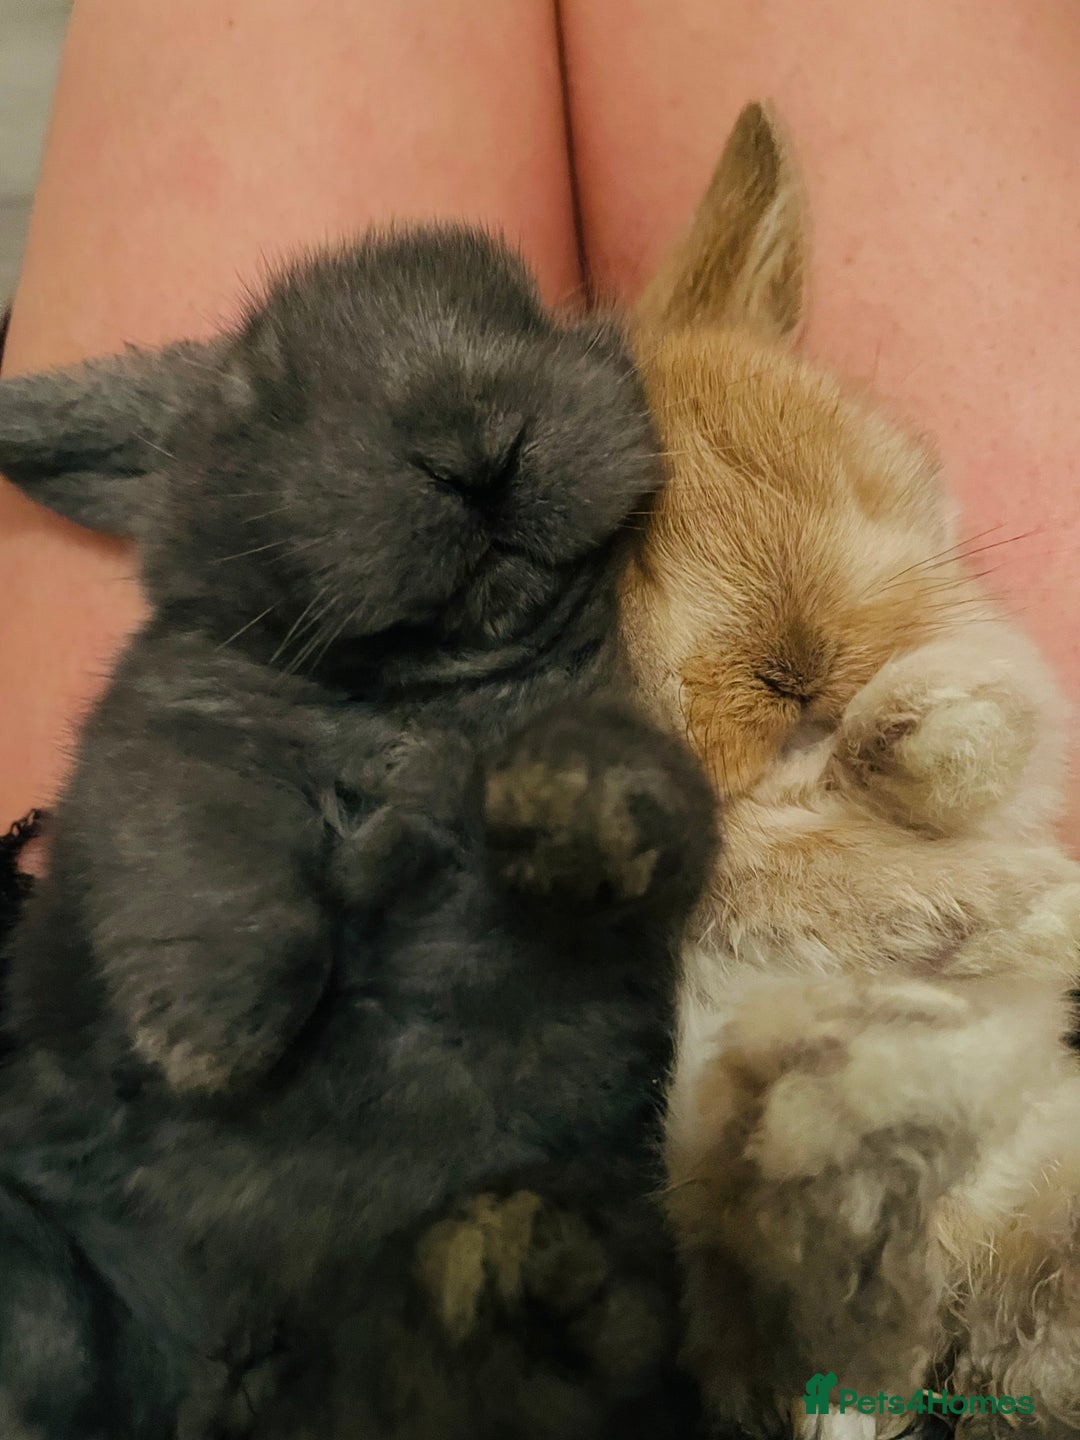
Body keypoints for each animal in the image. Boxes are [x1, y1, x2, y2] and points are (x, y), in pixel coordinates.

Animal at [0, 224, 717, 1439]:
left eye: (526, 310)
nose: (476, 449)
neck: (437, 687)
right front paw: (215, 1043)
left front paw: (580, 798)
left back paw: (527, 1280)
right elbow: (220, 864)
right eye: (261, 395)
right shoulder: (172, 740)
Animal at [620, 103, 1080, 1439]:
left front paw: (922, 727)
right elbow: (815, 877)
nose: (795, 663)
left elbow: (985, 733)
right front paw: (1048, 914)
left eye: (827, 466)